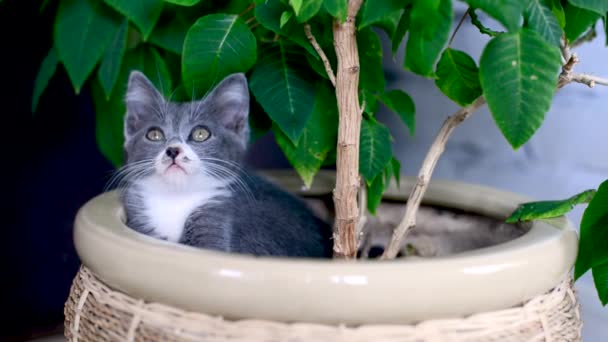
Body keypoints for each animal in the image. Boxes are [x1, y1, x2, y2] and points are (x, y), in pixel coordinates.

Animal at [116, 71, 330, 258]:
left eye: (200, 134)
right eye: (154, 134)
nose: (173, 150)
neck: (175, 197)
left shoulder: (215, 219)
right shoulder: (139, 222)